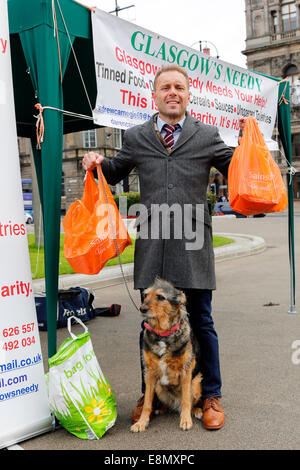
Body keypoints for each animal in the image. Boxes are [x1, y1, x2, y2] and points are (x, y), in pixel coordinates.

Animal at [131, 278, 203, 432]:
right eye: (145, 295)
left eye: (161, 297)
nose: (142, 309)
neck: (162, 334)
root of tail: (175, 403)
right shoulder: (149, 373)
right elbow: (147, 403)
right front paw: (141, 422)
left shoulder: (186, 372)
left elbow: (186, 401)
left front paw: (186, 420)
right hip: (158, 387)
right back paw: (161, 409)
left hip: (196, 384)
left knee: (191, 401)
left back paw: (197, 411)